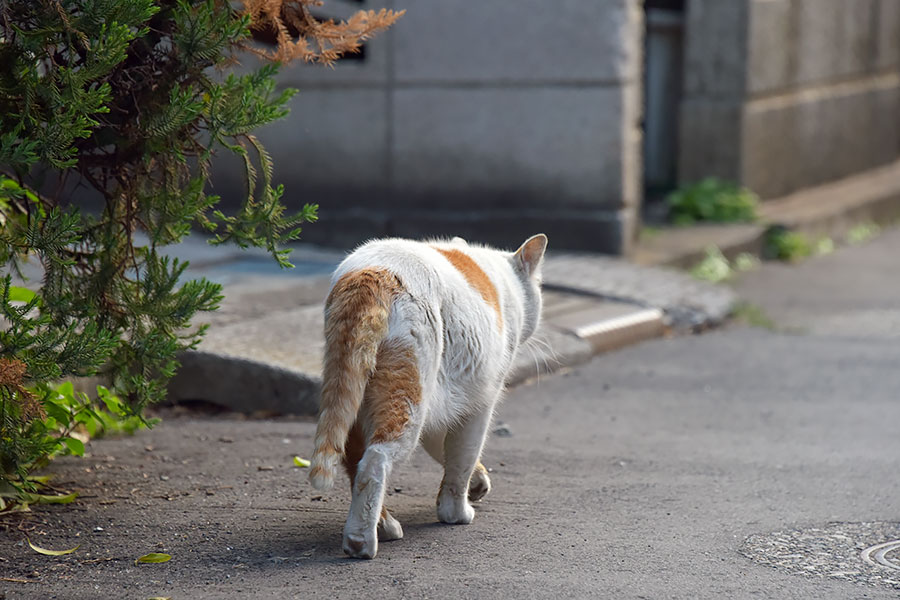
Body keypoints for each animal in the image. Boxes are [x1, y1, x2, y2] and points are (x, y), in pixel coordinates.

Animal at [310, 233, 548, 556]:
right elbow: (462, 459)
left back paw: (382, 524)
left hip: (360, 391)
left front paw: (478, 483)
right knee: (375, 459)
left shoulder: (446, 397)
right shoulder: (479, 401)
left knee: (354, 457)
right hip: (411, 397)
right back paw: (361, 541)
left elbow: (446, 451)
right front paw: (455, 512)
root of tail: (371, 272)